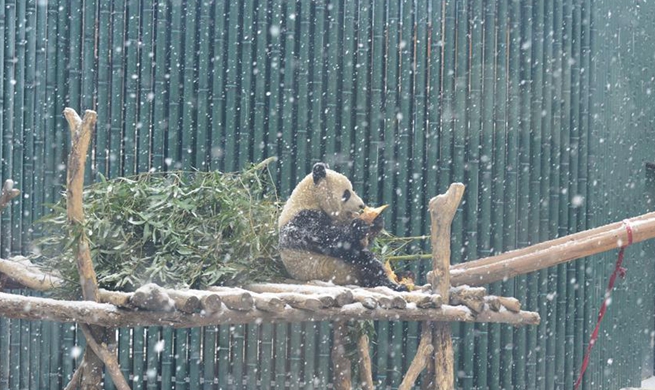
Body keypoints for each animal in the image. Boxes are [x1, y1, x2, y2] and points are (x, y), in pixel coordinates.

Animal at [278, 162, 410, 292]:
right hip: (332, 269)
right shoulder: (303, 221)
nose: (362, 205)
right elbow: (336, 241)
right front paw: (358, 227)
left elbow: (364, 242)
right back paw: (392, 285)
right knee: (365, 260)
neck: (310, 198)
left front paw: (376, 220)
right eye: (346, 193)